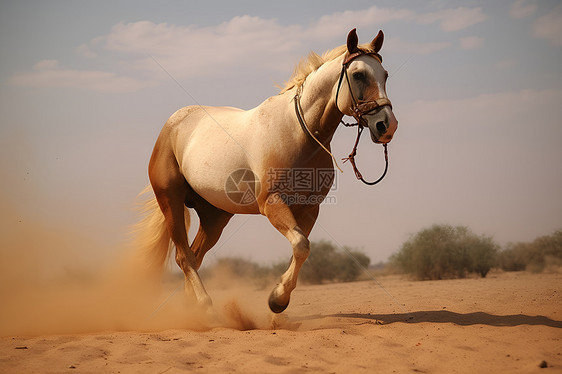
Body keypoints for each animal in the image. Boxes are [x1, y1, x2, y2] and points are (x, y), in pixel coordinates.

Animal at [137, 28, 396, 312]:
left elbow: (301, 249)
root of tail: (172, 125)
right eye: (358, 74)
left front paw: (278, 299)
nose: (387, 125)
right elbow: (301, 246)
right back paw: (206, 307)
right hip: (171, 201)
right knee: (184, 257)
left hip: (215, 215)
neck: (297, 133)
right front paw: (277, 300)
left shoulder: (309, 209)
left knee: (195, 255)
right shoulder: (272, 203)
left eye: (385, 75)